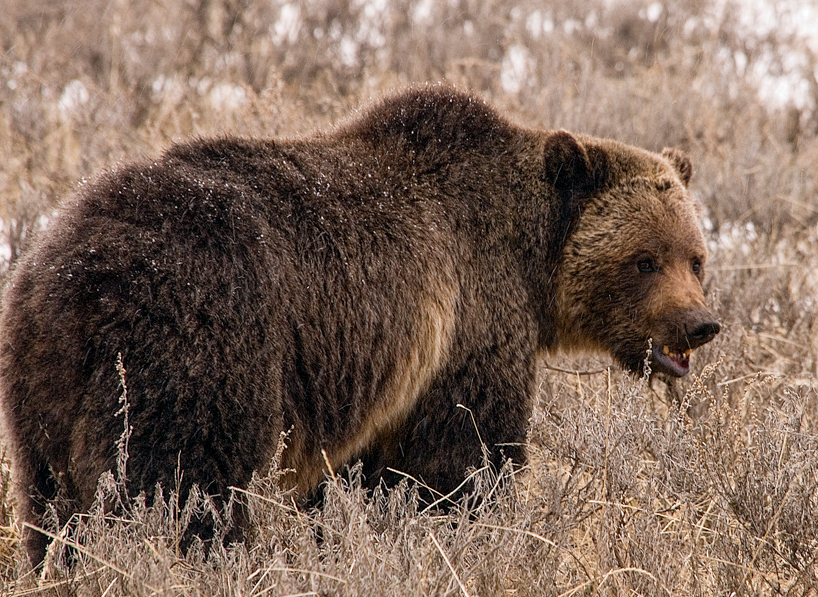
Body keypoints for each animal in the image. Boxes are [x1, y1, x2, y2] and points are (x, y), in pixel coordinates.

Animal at [0, 84, 719, 568]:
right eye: (644, 259)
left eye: (696, 256)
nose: (700, 324)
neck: (529, 258)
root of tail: (69, 276)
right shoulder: (466, 323)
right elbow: (457, 459)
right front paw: (460, 531)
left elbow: (353, 482)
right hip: (198, 344)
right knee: (184, 483)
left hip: (44, 392)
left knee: (53, 505)